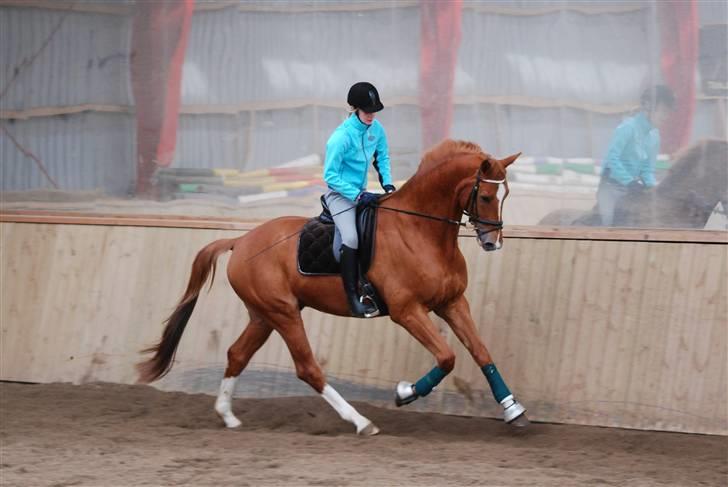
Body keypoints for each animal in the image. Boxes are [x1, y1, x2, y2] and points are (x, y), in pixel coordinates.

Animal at [136, 140, 528, 434]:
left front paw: (513, 409)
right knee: (307, 368)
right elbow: (447, 357)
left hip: (264, 316)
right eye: (486, 197)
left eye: (506, 194)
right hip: (283, 314)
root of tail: (242, 240)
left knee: (237, 354)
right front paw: (404, 393)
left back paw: (228, 416)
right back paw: (361, 422)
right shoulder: (407, 311)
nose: (492, 243)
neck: (421, 231)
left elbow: (481, 352)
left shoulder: (453, 302)